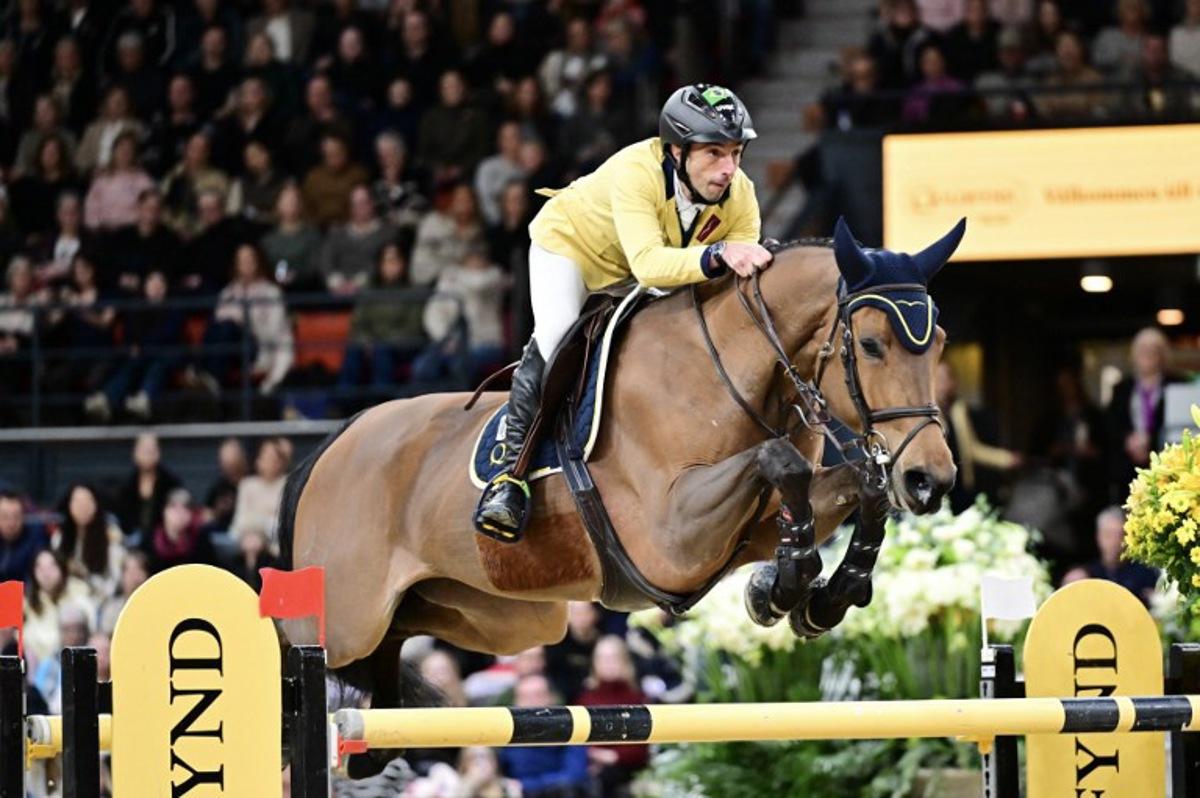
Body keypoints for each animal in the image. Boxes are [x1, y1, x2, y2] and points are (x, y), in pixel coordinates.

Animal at [276, 218, 963, 706]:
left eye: (940, 342)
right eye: (870, 345)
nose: (931, 481)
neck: (737, 375)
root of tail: (334, 443)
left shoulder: (752, 531)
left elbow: (858, 484)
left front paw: (815, 595)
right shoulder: (669, 538)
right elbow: (780, 460)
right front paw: (785, 586)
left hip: (504, 618)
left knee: (397, 639)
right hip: (344, 618)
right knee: (300, 657)